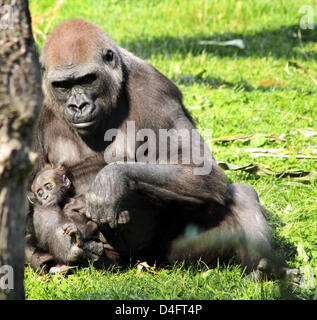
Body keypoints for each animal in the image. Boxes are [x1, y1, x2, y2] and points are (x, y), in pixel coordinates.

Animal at [26, 18, 292, 278]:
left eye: (87, 79)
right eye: (62, 85)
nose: (78, 105)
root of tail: (140, 262)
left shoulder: (155, 89)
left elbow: (197, 166)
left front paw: (111, 180)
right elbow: (30, 197)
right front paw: (64, 245)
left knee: (241, 193)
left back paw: (262, 268)